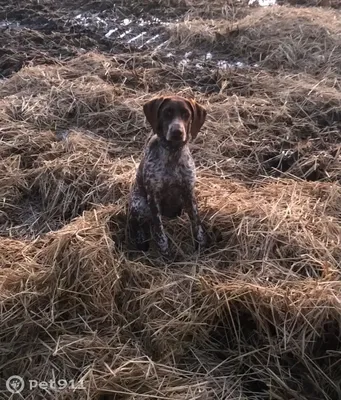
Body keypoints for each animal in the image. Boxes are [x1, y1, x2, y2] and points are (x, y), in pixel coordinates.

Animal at [127, 95, 206, 258]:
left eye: (186, 114)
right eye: (167, 112)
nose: (177, 132)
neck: (172, 153)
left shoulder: (189, 193)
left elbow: (197, 223)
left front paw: (201, 246)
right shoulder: (153, 197)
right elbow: (159, 232)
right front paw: (165, 253)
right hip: (140, 204)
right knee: (136, 224)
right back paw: (141, 240)